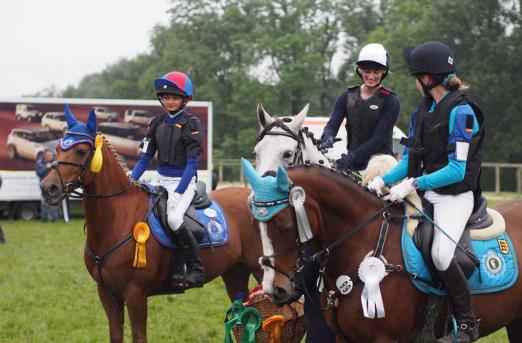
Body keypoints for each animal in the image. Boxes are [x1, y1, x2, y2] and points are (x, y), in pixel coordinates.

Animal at [39, 128, 260, 342]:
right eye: (57, 148)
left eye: (81, 151)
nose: (48, 187)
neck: (120, 217)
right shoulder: (107, 293)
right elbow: (115, 335)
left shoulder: (135, 293)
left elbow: (139, 336)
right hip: (234, 272)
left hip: (259, 269)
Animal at [241, 162, 522, 343]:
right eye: (255, 225)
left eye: (284, 226)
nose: (274, 290)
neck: (363, 241)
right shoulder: (344, 338)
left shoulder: (384, 338)